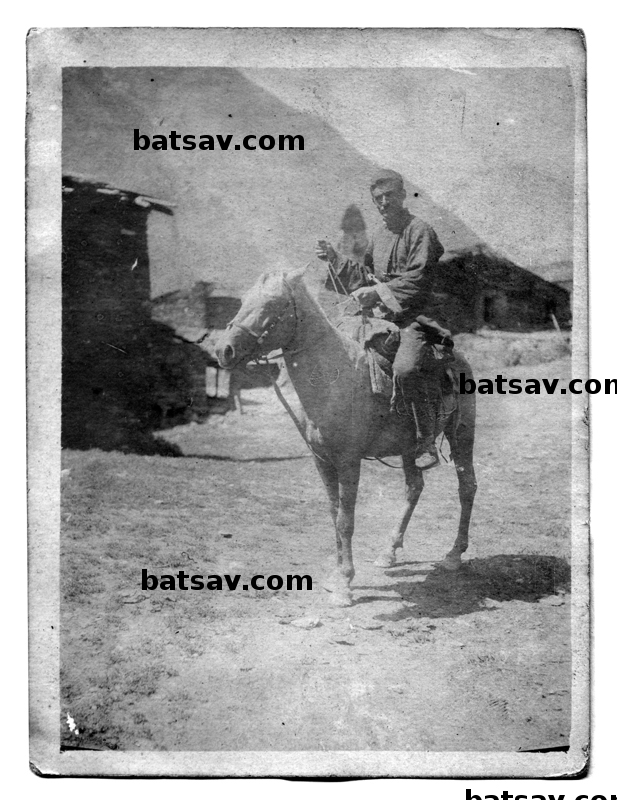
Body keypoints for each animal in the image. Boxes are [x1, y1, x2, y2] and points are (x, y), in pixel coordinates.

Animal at [214, 268, 478, 608]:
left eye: (272, 303)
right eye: (245, 298)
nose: (224, 350)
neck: (333, 378)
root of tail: (457, 355)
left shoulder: (349, 461)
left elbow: (345, 519)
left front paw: (344, 583)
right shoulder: (322, 460)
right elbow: (333, 513)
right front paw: (336, 573)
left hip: (461, 434)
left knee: (467, 487)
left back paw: (453, 554)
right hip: (410, 446)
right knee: (414, 487)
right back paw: (389, 551)